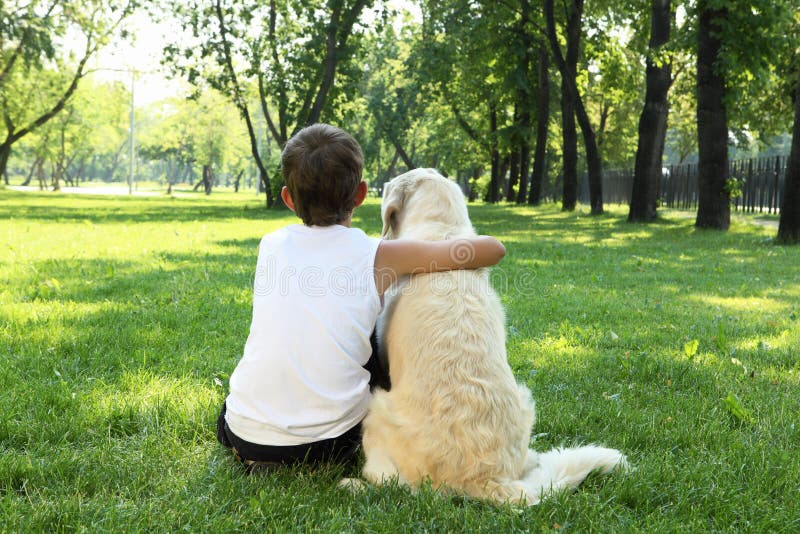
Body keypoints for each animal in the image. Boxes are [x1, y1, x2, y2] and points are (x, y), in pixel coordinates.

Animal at [346, 169, 628, 506]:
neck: (443, 233)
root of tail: (487, 479)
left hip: (376, 409)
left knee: (391, 482)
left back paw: (353, 484)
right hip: (525, 400)